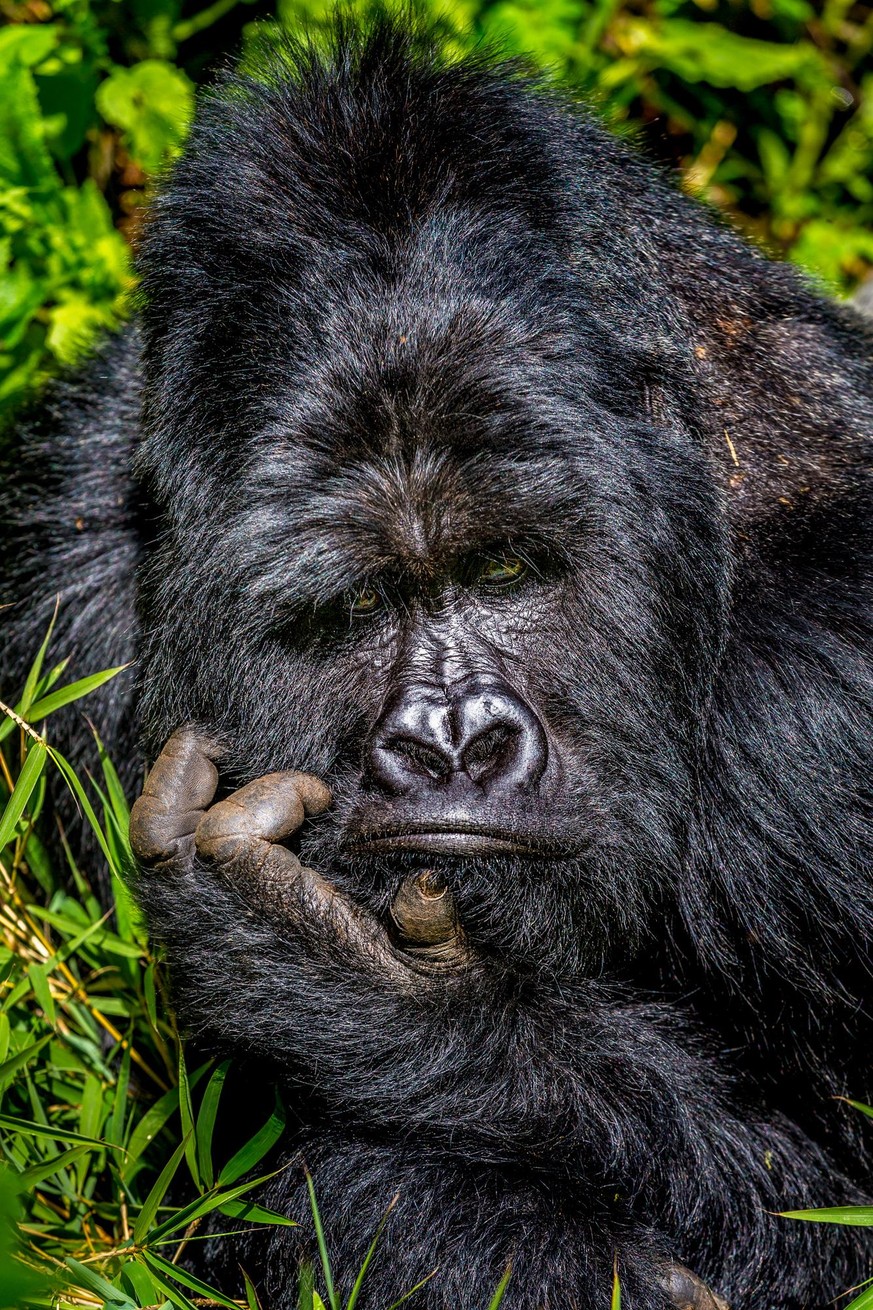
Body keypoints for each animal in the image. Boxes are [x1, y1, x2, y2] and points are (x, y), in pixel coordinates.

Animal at [1, 17, 870, 1310]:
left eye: (506, 568)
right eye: (360, 600)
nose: (455, 740)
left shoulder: (827, 715)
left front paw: (400, 1002)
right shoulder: (56, 608)